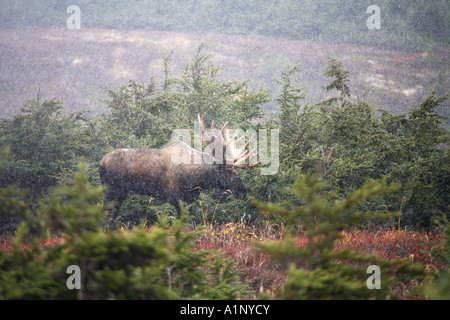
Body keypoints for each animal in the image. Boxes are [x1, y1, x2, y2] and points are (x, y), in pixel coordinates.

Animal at [100, 115, 258, 220]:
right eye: (227, 171)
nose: (243, 190)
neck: (197, 179)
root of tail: (101, 163)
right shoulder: (177, 199)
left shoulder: (190, 200)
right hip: (111, 192)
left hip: (119, 195)